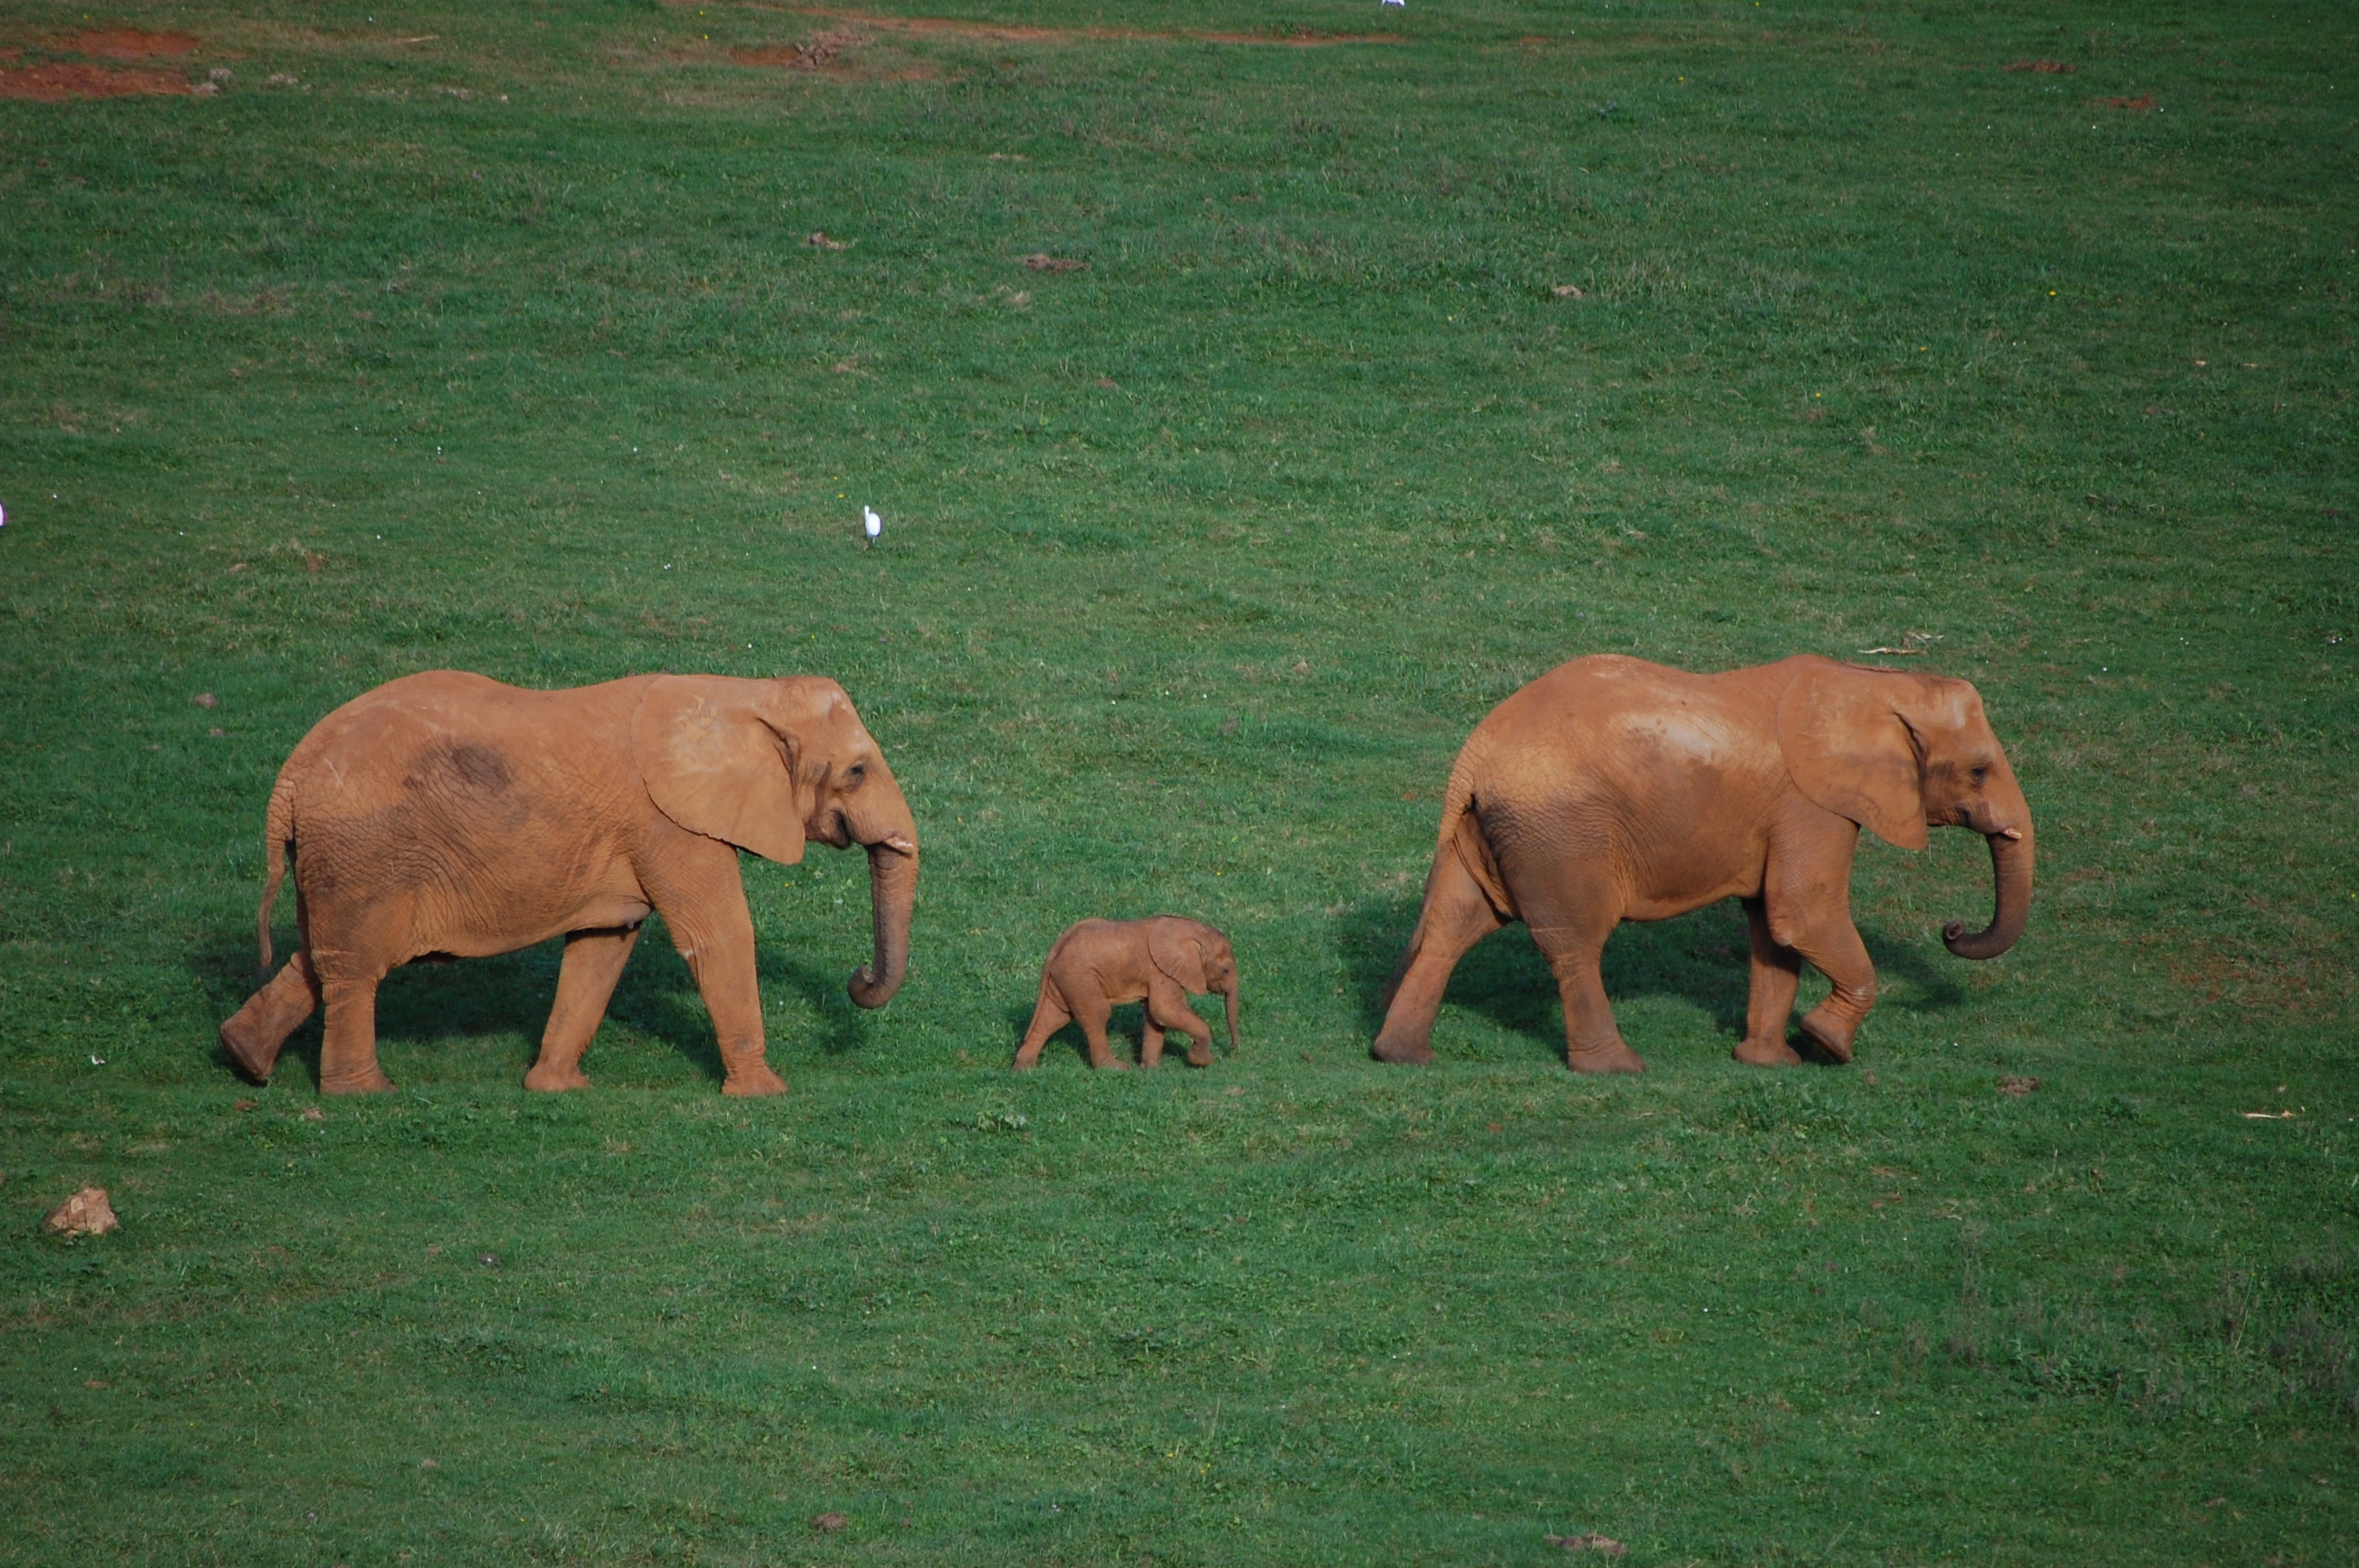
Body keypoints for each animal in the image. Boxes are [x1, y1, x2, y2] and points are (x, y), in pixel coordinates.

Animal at [217, 671, 918, 1096]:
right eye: (857, 771)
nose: (857, 978)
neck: (741, 694)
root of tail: (291, 776)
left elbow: (603, 945)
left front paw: (555, 1089)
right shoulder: (670, 823)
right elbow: (718, 935)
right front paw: (765, 1094)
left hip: (336, 859)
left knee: (320, 956)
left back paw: (245, 1061)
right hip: (365, 852)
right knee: (358, 965)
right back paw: (366, 1095)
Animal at [1013, 917, 1242, 1070]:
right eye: (1225, 970)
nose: (1232, 1049)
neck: (1191, 930)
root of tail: (1055, 949)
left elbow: (1155, 1016)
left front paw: (1150, 1070)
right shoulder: (1161, 971)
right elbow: (1164, 1010)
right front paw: (1201, 1062)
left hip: (1065, 980)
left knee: (1053, 1018)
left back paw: (1024, 1070)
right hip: (1079, 977)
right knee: (1097, 1014)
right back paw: (1114, 1068)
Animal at [1371, 654, 2032, 1072]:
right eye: (1979, 770)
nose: (1951, 930)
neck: (1877, 683)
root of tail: (1475, 755)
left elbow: (1771, 929)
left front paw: (1772, 1063)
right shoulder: (1811, 805)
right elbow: (1802, 915)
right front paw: (1827, 1049)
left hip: (1491, 830)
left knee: (1453, 927)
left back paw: (1401, 1057)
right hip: (1559, 834)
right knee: (1576, 941)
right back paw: (1618, 1069)